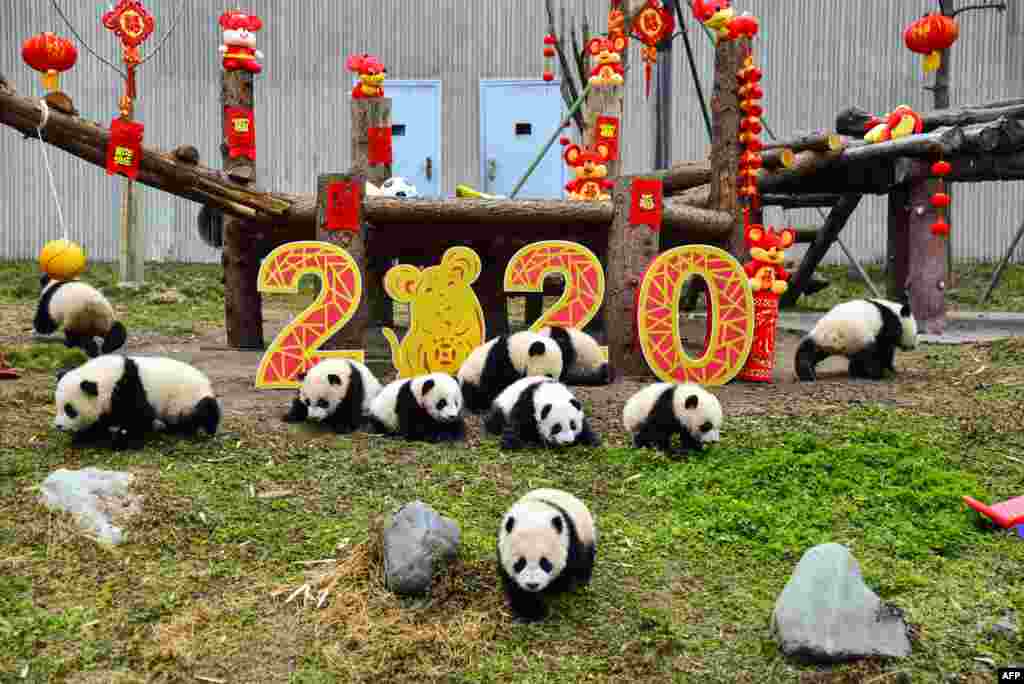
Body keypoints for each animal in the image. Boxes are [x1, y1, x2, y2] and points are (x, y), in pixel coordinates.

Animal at [53, 352, 220, 448]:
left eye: (70, 410)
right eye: (58, 406)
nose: (58, 426)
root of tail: (206, 382)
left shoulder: (129, 389)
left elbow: (139, 418)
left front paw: (121, 441)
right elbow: (102, 420)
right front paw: (84, 437)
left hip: (190, 398)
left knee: (206, 410)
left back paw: (206, 430)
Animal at [497, 485, 598, 626]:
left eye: (545, 562)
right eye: (520, 563)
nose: (532, 584)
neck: (534, 513)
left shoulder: (570, 539)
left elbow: (569, 569)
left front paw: (555, 589)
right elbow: (515, 587)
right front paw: (532, 611)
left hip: (586, 532)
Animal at [790, 298, 921, 385]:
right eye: (915, 334)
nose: (912, 347)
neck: (895, 312)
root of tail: (834, 338)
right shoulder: (887, 326)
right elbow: (885, 349)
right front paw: (891, 369)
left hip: (819, 339)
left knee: (806, 353)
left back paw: (807, 374)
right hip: (859, 337)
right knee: (870, 356)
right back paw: (876, 374)